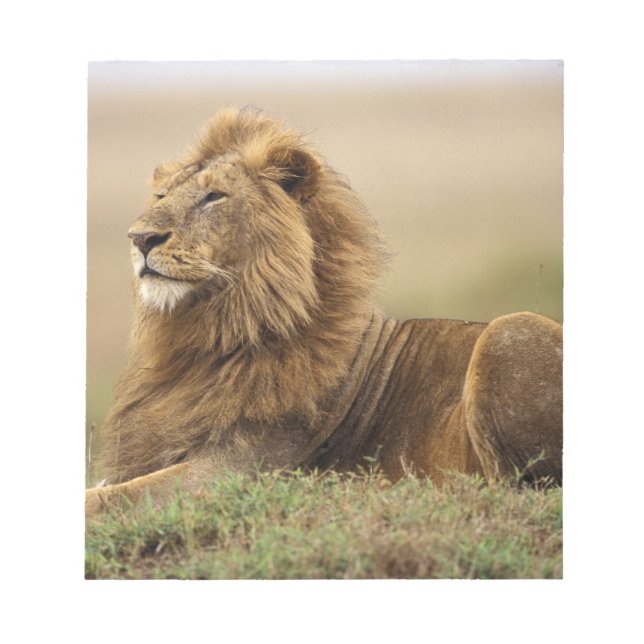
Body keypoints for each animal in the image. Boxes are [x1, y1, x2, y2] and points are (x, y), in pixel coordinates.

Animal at [86, 107, 562, 518]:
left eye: (213, 197)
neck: (208, 336)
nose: (139, 237)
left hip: (511, 330)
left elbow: (110, 500)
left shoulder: (235, 470)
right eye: (161, 195)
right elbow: (104, 488)